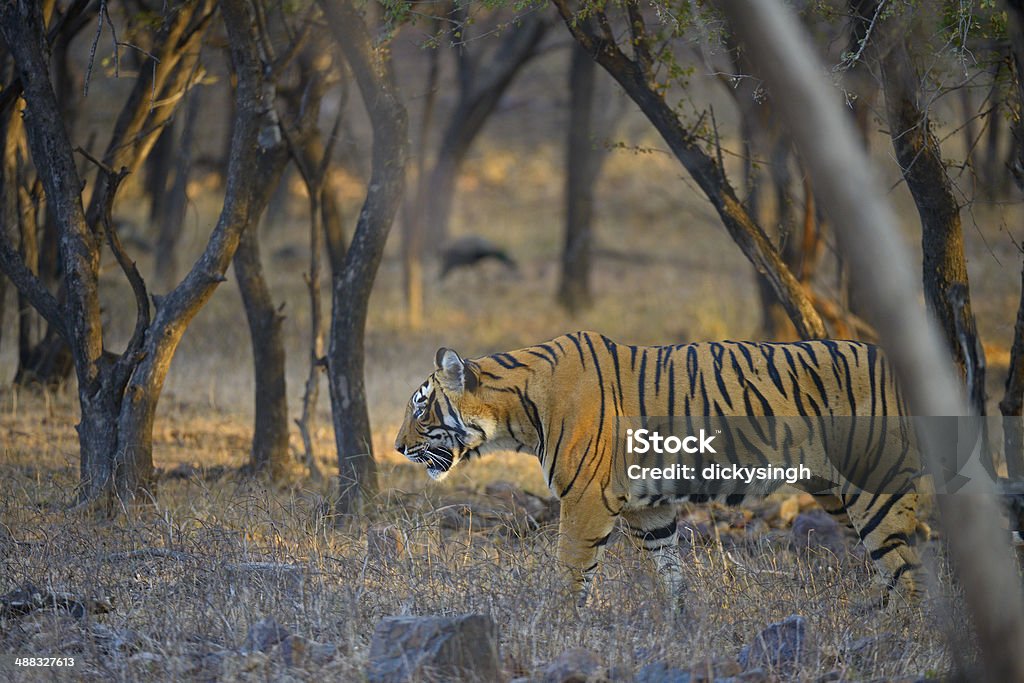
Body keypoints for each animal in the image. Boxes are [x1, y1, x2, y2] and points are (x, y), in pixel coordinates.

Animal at [393, 331, 929, 602]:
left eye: (420, 410)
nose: (397, 448)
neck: (517, 414)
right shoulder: (646, 509)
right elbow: (669, 574)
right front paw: (681, 624)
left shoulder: (585, 501)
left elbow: (571, 572)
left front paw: (561, 627)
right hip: (838, 494)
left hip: (874, 489)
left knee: (908, 574)